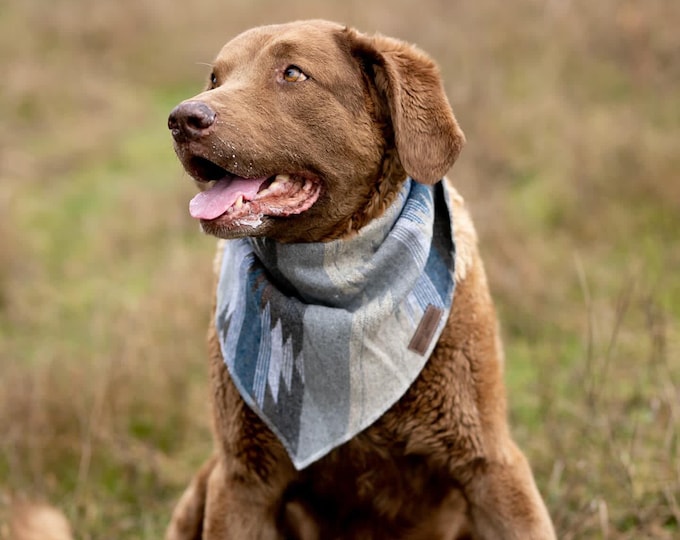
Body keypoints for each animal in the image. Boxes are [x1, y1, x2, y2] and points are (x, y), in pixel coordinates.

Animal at [166, 19, 556, 536]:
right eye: (215, 78)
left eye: (293, 73)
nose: (182, 118)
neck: (339, 279)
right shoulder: (242, 478)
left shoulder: (490, 462)